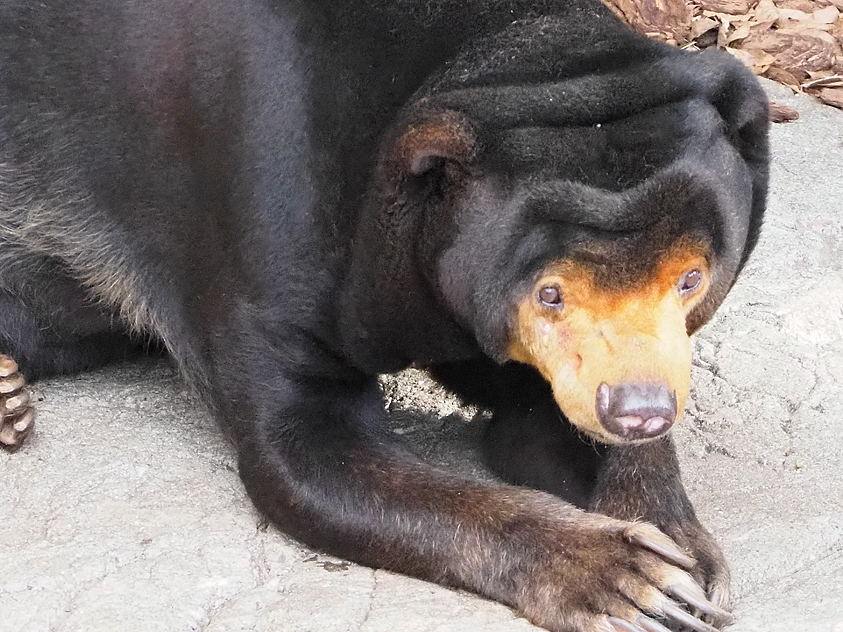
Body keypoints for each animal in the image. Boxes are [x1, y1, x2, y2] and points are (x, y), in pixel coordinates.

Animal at [0, 1, 768, 632]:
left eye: (691, 277)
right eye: (549, 292)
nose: (638, 410)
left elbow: (539, 418)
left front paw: (681, 555)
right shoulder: (267, 213)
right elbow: (304, 448)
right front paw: (625, 577)